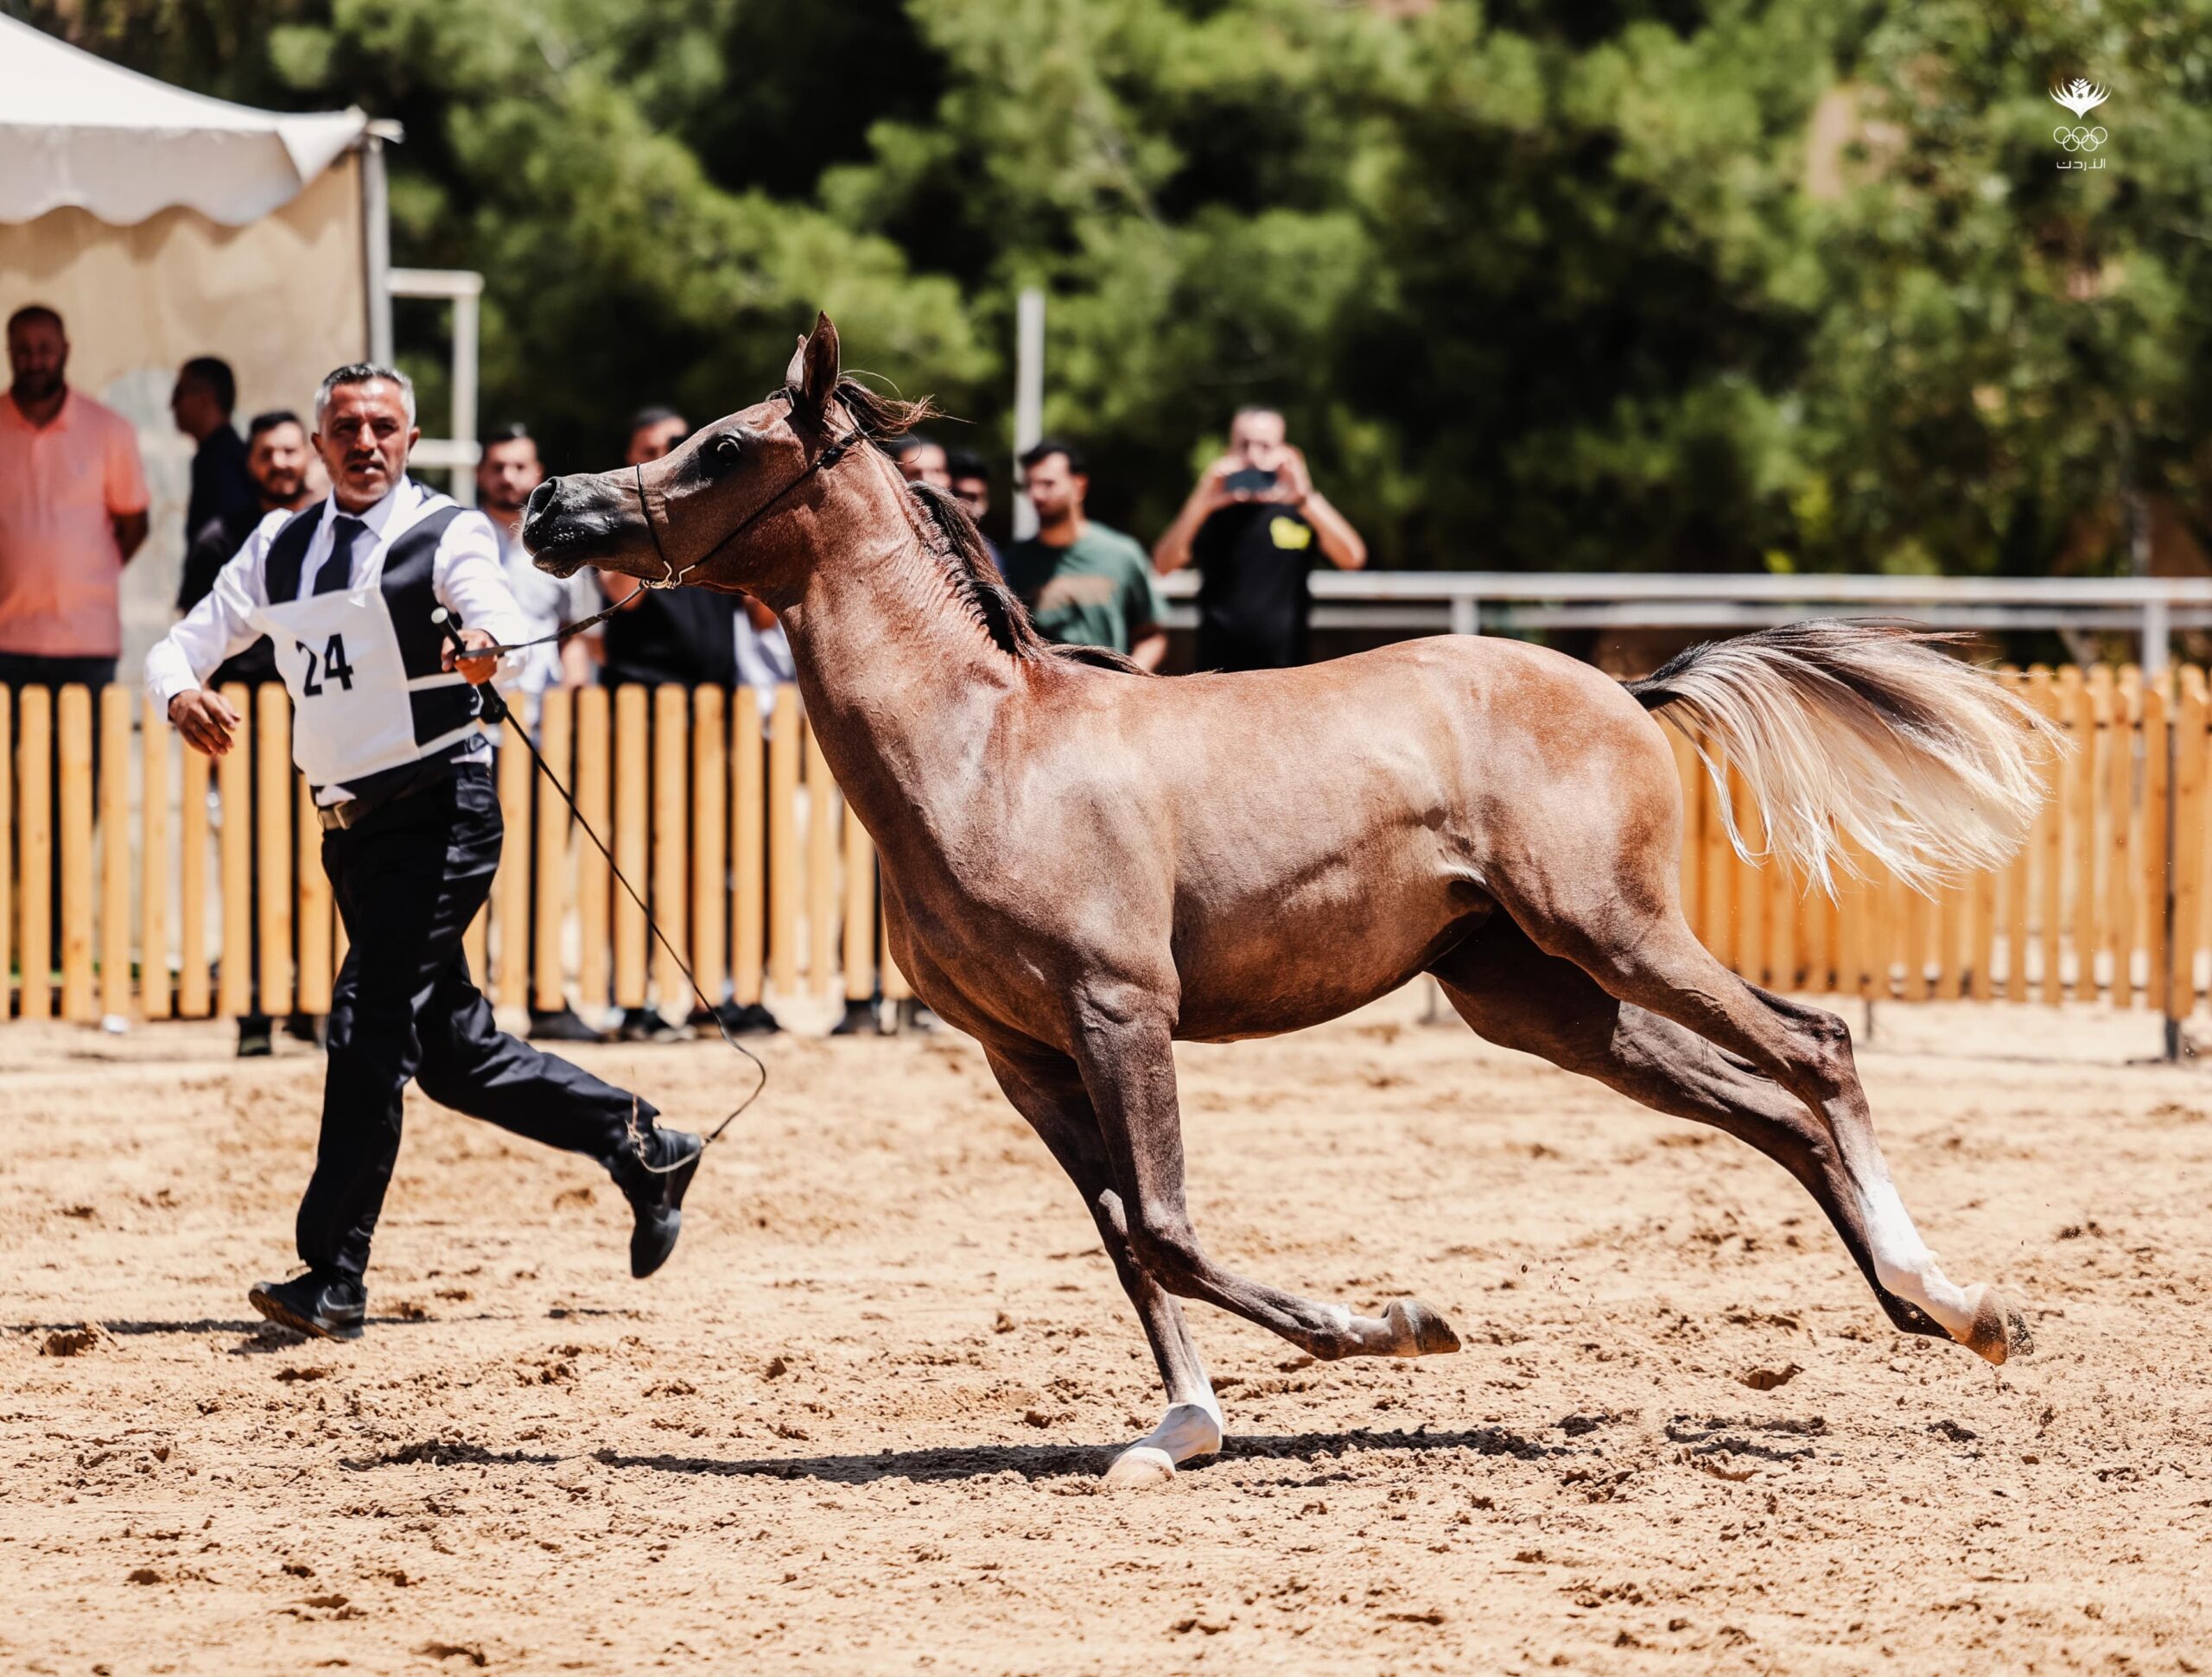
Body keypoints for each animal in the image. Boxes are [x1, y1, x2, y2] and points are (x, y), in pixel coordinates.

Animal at [522, 318, 2052, 1496]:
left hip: (1615, 933)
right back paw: (1930, 1312)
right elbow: (1127, 1239)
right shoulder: (1024, 1056)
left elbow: (1170, 1228)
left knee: (1815, 1048)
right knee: (1770, 1109)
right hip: (1542, 1001)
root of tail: (1627, 687)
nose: (555, 509)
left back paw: (1961, 1303)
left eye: (725, 448)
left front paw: (1400, 1323)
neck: (983, 748)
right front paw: (1180, 1431)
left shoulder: (1120, 1009)